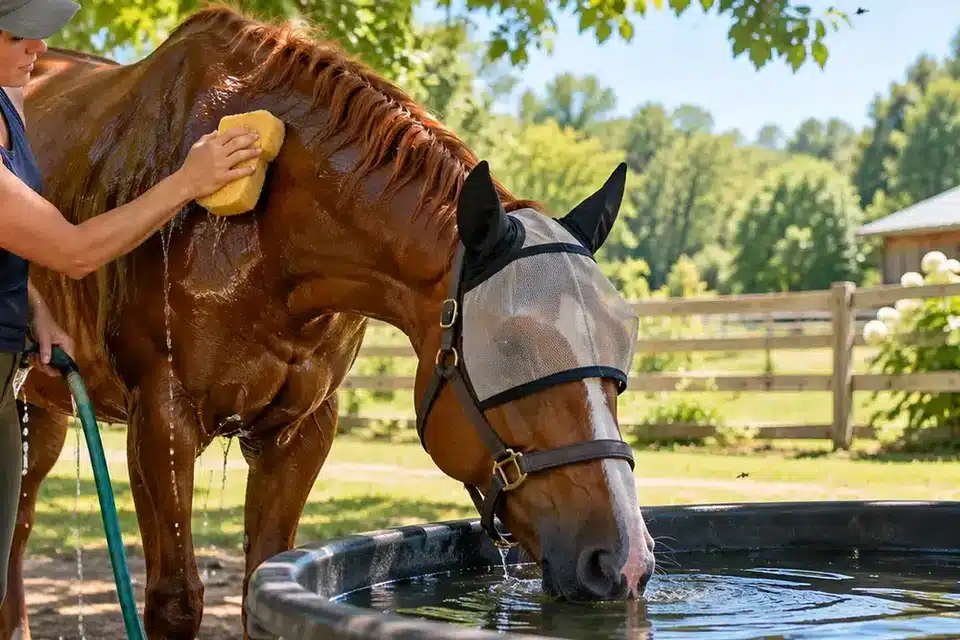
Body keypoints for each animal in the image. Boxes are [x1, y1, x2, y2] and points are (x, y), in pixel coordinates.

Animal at [4, 6, 655, 638]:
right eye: (511, 346)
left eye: (623, 345)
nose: (623, 560)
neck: (264, 228)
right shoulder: (161, 418)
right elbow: (175, 601)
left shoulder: (302, 429)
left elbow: (261, 585)